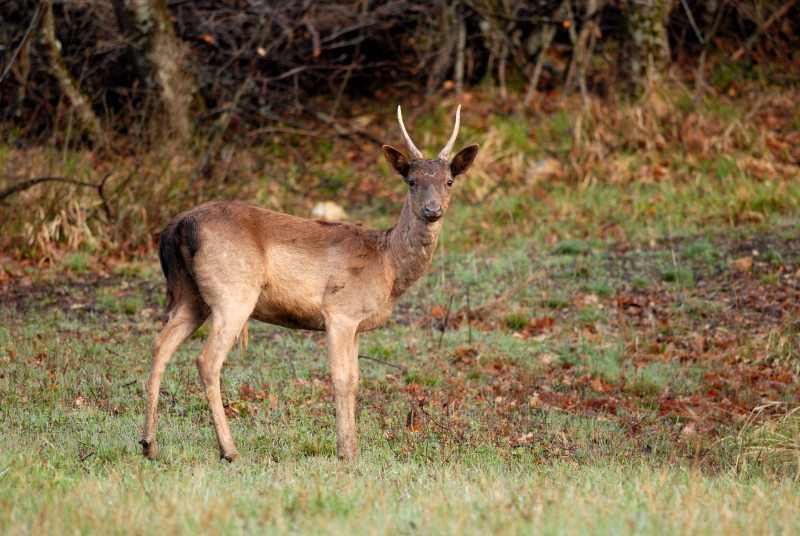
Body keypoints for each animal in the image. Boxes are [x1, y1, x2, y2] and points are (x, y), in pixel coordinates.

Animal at [140, 104, 478, 460]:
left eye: (449, 181)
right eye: (411, 181)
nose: (432, 209)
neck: (388, 265)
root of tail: (176, 226)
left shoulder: (356, 323)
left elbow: (356, 379)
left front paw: (352, 447)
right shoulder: (340, 310)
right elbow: (342, 379)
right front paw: (347, 453)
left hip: (190, 296)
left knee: (160, 345)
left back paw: (150, 445)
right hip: (232, 291)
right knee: (207, 359)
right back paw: (229, 450)